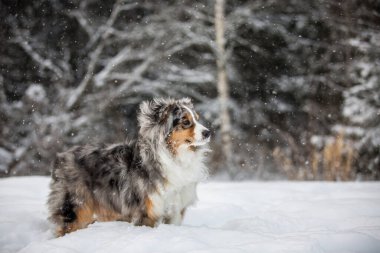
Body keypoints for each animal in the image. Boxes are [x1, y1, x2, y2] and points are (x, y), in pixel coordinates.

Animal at [47, 98, 211, 236]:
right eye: (185, 121)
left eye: (197, 118)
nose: (208, 132)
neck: (175, 156)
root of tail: (62, 156)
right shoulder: (147, 211)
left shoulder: (176, 210)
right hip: (76, 208)